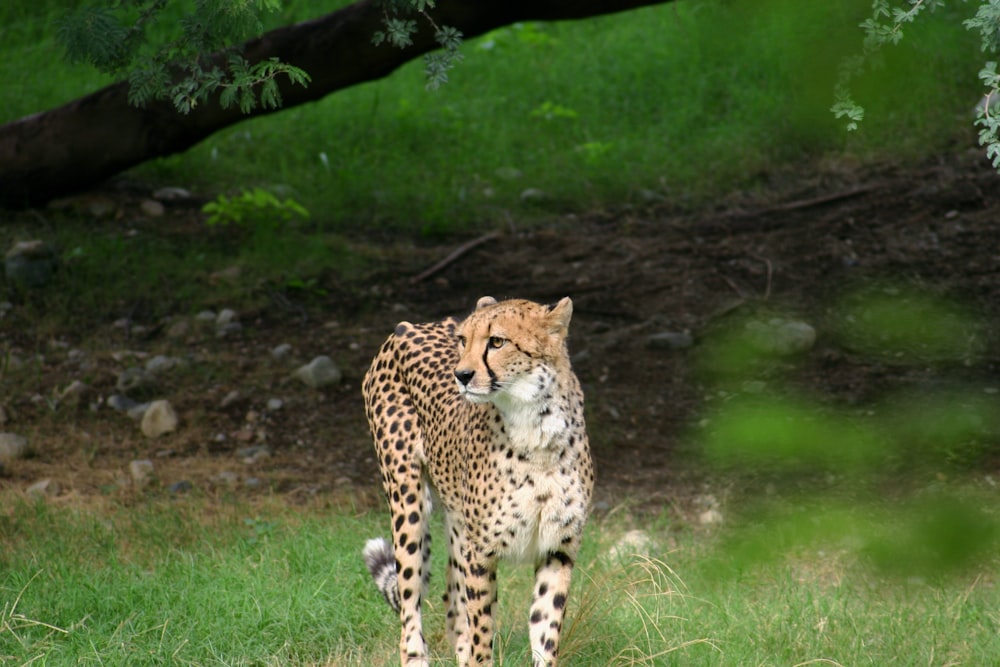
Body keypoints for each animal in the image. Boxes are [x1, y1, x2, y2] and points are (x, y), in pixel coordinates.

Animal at [362, 298, 588, 667]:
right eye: (463, 340)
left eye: (497, 341)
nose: (462, 375)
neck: (536, 430)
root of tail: (409, 326)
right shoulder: (480, 554)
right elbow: (481, 635)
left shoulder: (557, 550)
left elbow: (545, 632)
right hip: (408, 501)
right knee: (411, 607)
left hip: (457, 521)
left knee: (452, 604)